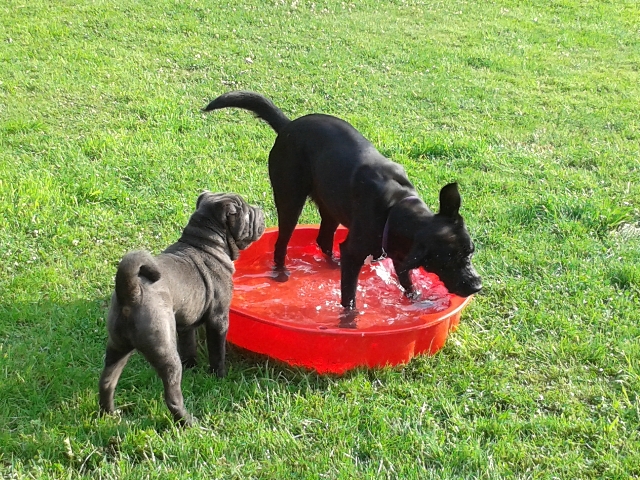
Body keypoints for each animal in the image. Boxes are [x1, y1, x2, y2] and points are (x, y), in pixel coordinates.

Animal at [97, 191, 264, 424]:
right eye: (248, 213)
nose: (261, 210)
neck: (204, 242)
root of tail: (131, 292)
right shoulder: (218, 319)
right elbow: (217, 352)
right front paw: (219, 376)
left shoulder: (186, 323)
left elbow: (188, 345)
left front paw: (192, 366)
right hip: (165, 352)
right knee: (172, 396)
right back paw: (188, 422)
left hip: (117, 347)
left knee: (106, 383)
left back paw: (110, 414)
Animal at [205, 94, 480, 318]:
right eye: (448, 259)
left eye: (470, 253)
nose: (477, 285)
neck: (396, 206)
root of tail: (289, 125)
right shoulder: (354, 253)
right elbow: (349, 299)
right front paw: (349, 322)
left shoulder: (400, 255)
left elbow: (409, 284)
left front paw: (417, 303)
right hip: (290, 200)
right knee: (281, 245)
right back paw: (281, 273)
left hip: (330, 207)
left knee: (324, 239)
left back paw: (329, 265)